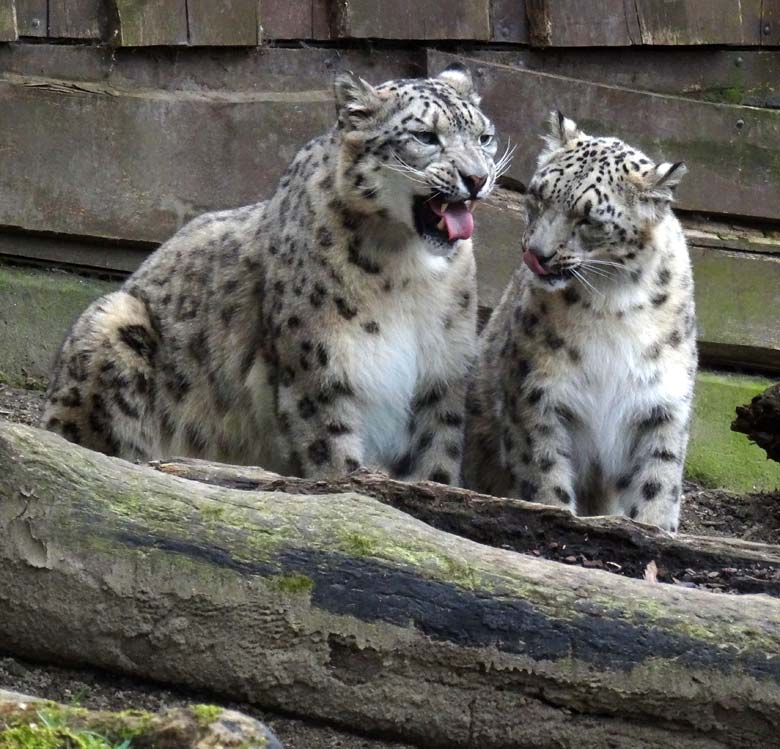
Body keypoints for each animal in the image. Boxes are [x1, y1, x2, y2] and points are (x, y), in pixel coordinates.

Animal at [42, 65, 502, 486]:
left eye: (484, 136)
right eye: (425, 136)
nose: (477, 178)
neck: (408, 273)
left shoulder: (440, 379)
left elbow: (436, 462)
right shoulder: (319, 373)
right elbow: (334, 457)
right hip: (113, 320)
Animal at [466, 112, 696, 532]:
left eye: (589, 219)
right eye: (538, 196)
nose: (536, 254)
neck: (611, 304)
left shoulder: (661, 405)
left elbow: (658, 481)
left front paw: (654, 529)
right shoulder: (536, 396)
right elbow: (545, 474)